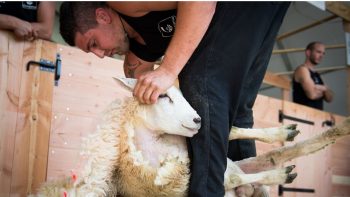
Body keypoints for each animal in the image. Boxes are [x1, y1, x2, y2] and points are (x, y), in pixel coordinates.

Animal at [34, 77, 350, 196]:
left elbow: (234, 130)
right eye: (162, 96)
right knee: (267, 164)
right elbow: (227, 177)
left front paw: (280, 131)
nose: (197, 119)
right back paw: (282, 172)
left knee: (273, 153)